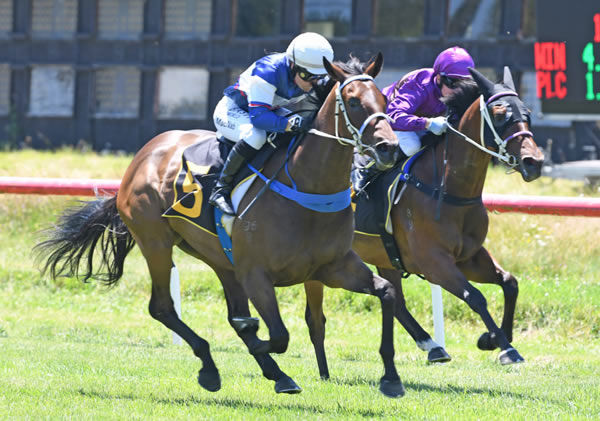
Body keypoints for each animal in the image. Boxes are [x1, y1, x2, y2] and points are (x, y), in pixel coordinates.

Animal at [36, 54, 408, 396]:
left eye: (384, 99)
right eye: (354, 101)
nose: (389, 148)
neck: (308, 186)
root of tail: (143, 156)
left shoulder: (332, 266)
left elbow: (387, 293)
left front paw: (391, 378)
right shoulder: (256, 274)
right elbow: (278, 335)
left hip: (220, 259)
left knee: (228, 314)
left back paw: (273, 373)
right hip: (156, 243)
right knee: (163, 307)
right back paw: (212, 369)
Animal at [302, 66, 548, 378]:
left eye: (526, 113)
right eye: (499, 114)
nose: (533, 162)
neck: (449, 188)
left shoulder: (468, 257)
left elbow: (510, 283)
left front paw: (491, 339)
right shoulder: (434, 262)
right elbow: (475, 296)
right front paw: (505, 348)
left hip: (384, 255)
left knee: (396, 301)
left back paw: (432, 345)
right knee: (320, 314)